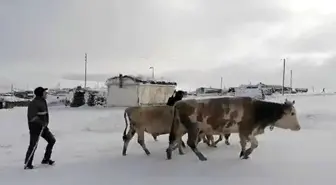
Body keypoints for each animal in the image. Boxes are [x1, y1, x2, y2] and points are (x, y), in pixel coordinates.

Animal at [167, 96, 300, 161]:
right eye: (292, 113)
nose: (299, 127)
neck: (257, 110)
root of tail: (179, 103)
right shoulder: (247, 129)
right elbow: (255, 144)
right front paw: (247, 153)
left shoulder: (242, 131)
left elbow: (243, 143)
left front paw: (243, 154)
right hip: (193, 128)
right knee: (190, 143)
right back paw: (201, 157)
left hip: (180, 127)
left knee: (174, 139)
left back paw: (170, 153)